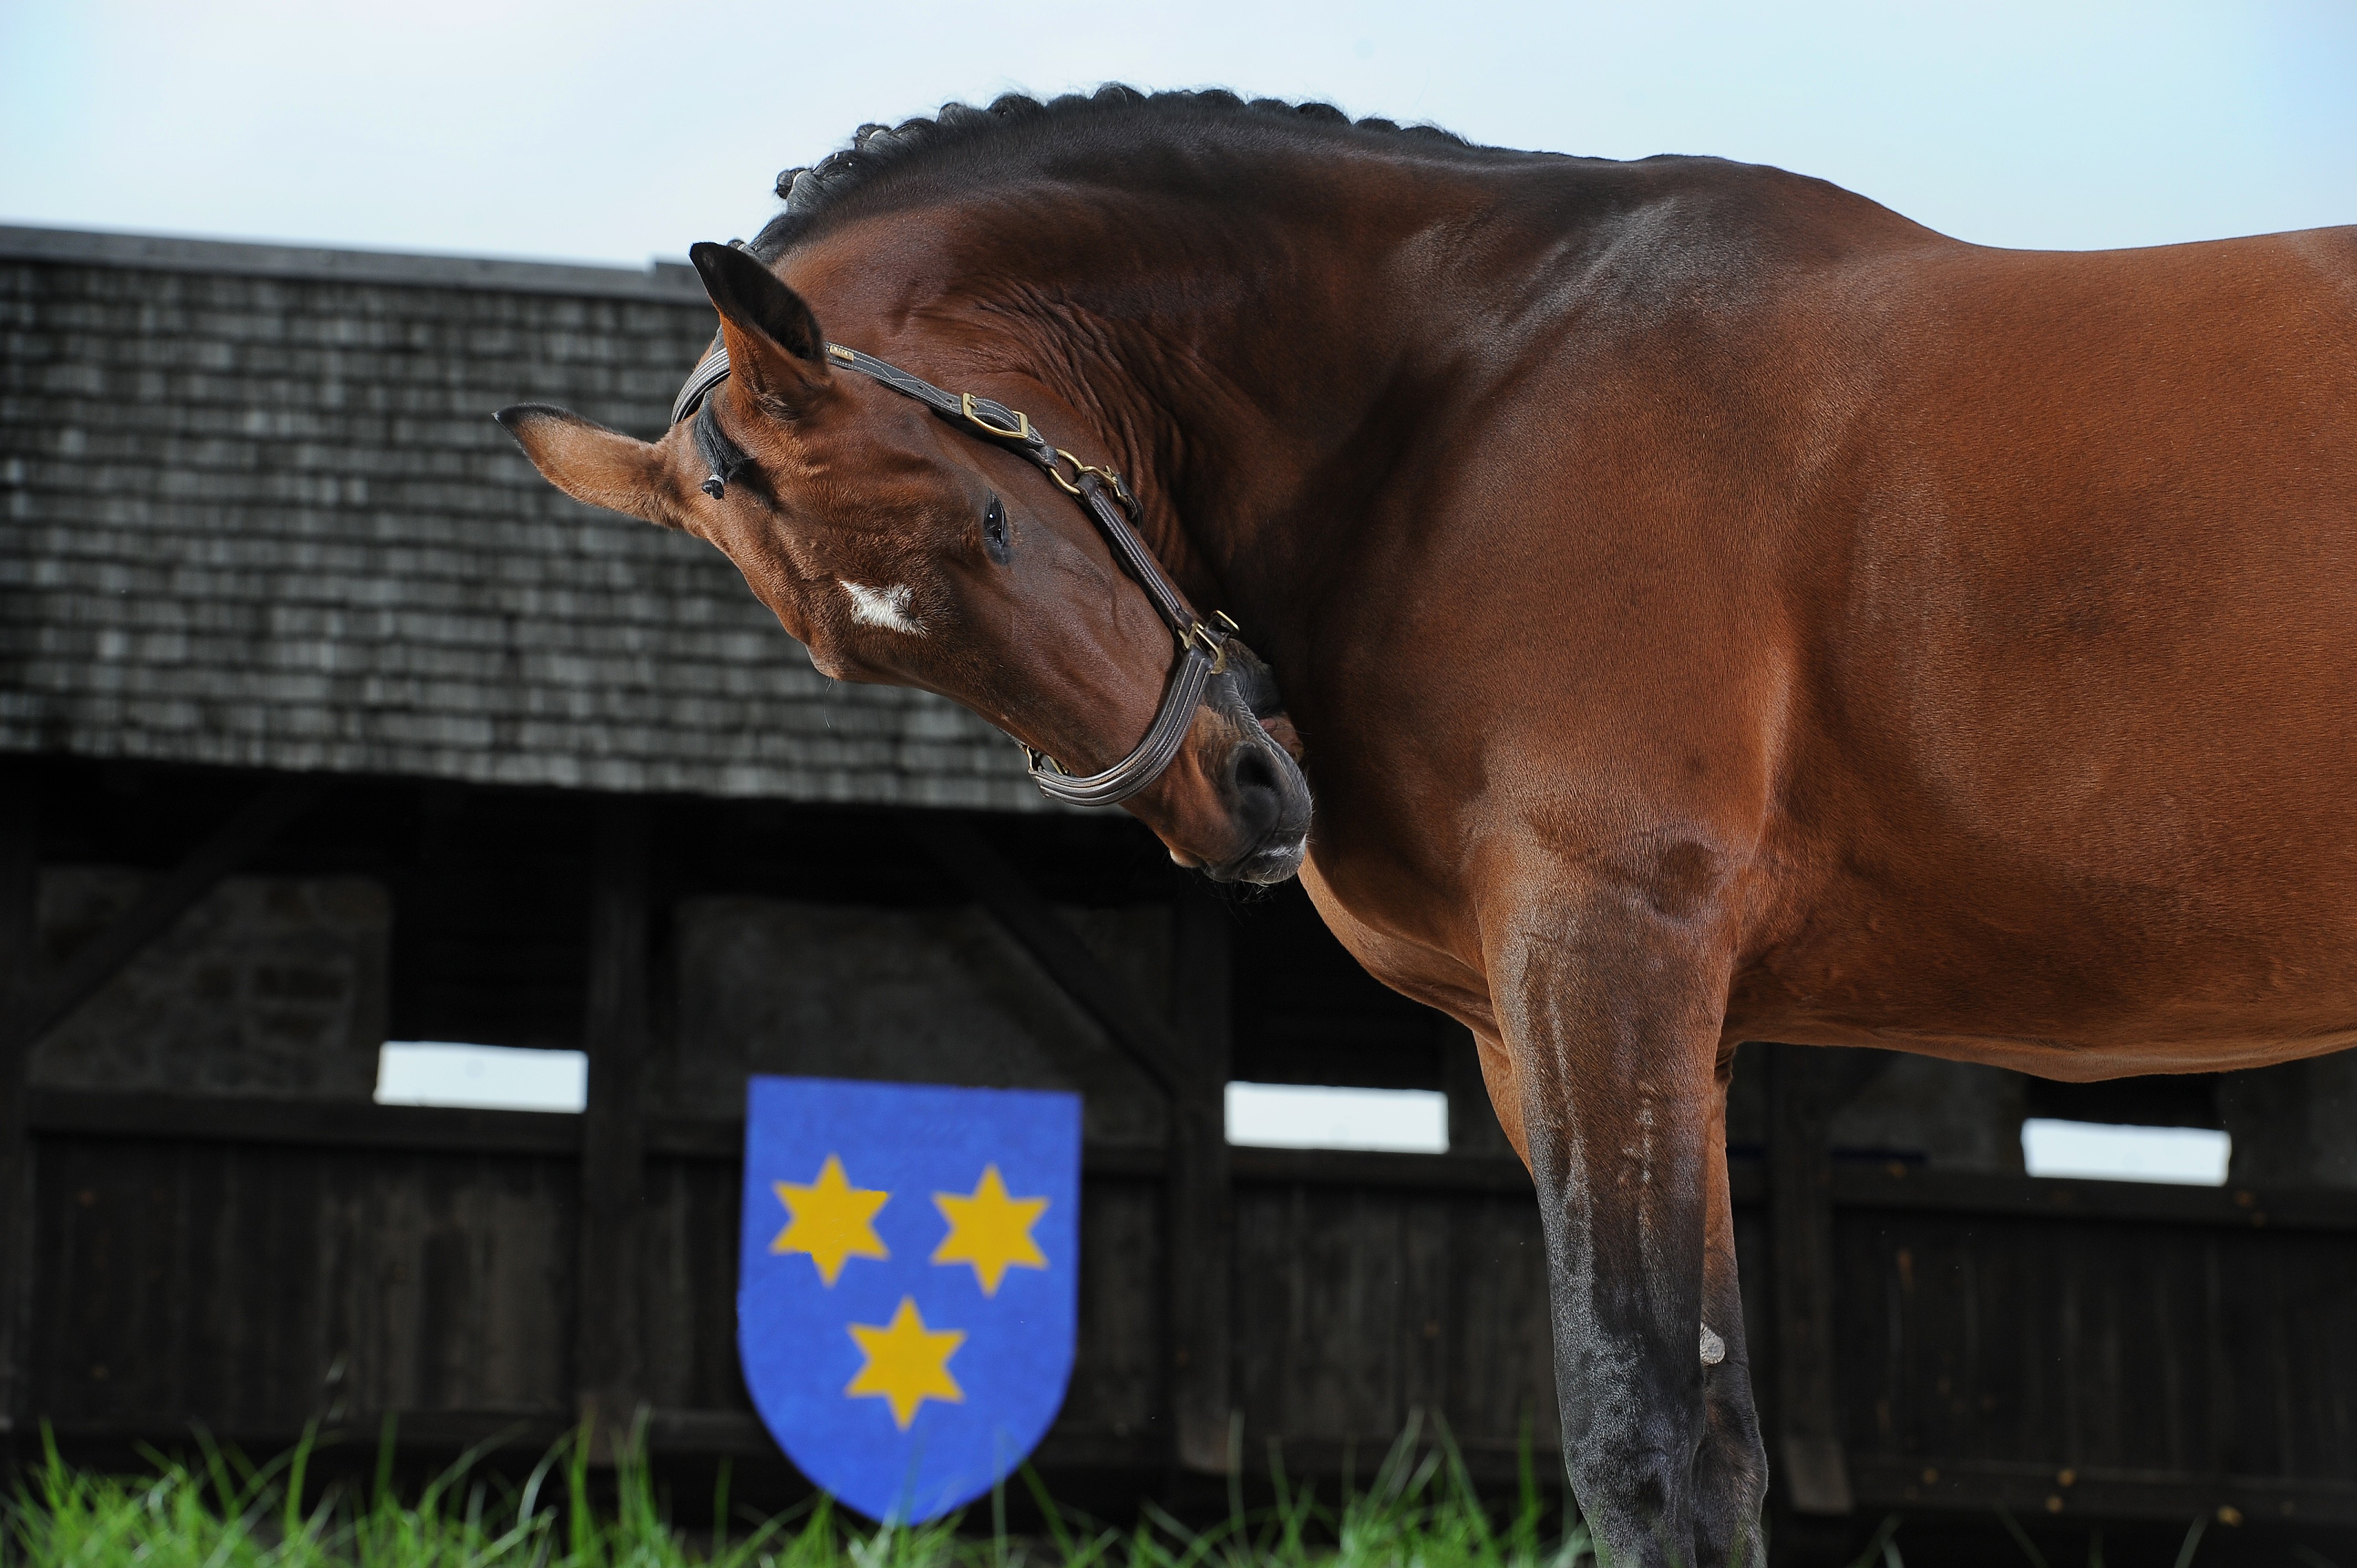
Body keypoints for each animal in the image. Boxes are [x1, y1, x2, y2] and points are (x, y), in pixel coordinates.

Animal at [495, 87, 2357, 1566]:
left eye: (983, 523)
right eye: (845, 649)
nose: (1237, 797)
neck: (1466, 393)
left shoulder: (1609, 949)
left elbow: (1639, 1429)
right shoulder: (1567, 1034)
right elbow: (1708, 1429)